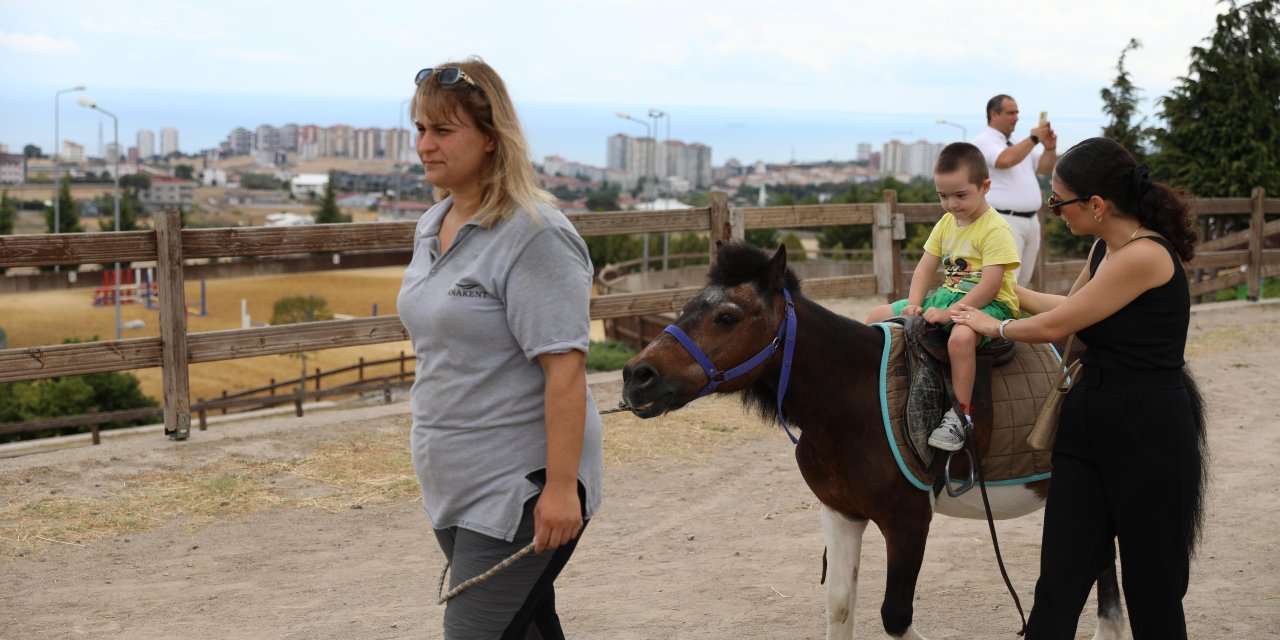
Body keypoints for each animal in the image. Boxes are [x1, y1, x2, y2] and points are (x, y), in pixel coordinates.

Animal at [622, 241, 1121, 637]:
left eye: (727, 316)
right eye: (687, 307)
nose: (636, 377)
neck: (853, 399)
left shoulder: (908, 522)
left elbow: (894, 617)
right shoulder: (841, 513)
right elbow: (841, 608)